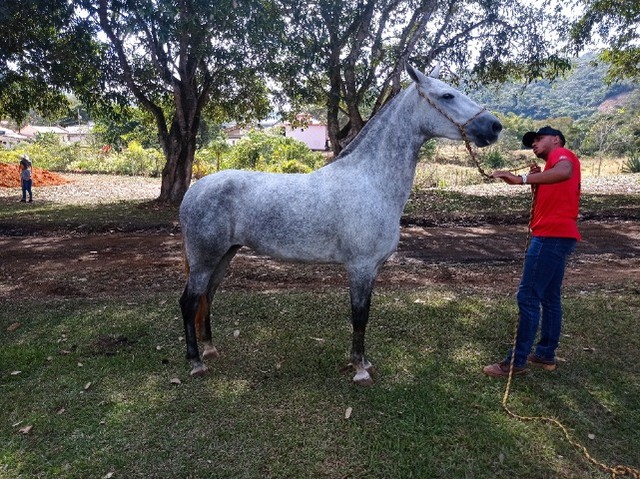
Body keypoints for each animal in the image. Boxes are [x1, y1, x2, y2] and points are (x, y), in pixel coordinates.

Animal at [178, 63, 502, 386]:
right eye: (447, 95)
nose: (494, 126)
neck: (371, 181)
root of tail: (193, 191)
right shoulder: (360, 266)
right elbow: (359, 315)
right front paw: (359, 369)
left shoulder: (372, 268)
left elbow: (365, 313)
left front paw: (364, 362)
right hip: (205, 259)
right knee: (189, 302)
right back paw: (195, 362)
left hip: (224, 256)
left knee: (207, 297)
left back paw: (210, 348)